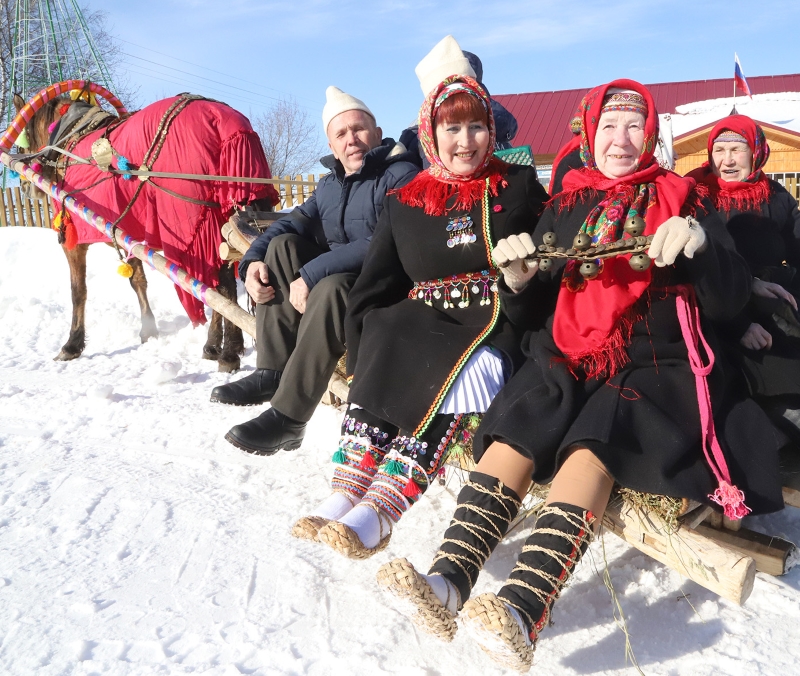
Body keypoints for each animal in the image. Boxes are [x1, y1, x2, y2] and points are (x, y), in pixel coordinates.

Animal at [13, 89, 282, 370]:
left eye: (22, 143)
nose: (25, 188)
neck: (69, 139)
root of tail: (228, 122)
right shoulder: (126, 232)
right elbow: (137, 280)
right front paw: (148, 329)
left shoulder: (73, 240)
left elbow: (78, 291)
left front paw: (71, 344)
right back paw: (215, 345)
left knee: (223, 285)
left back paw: (227, 352)